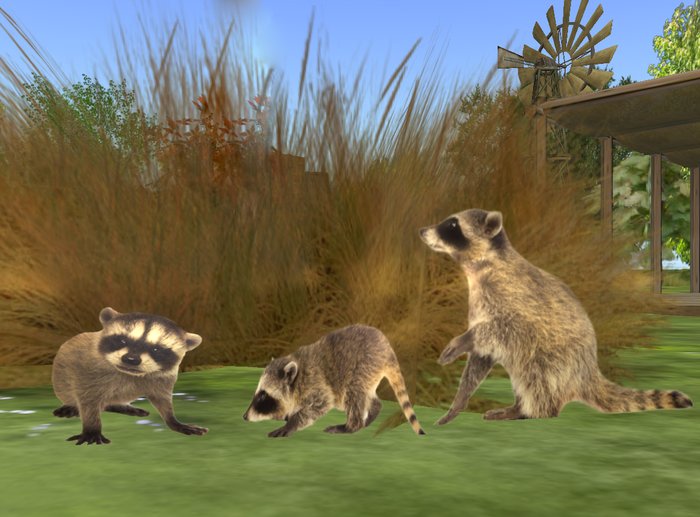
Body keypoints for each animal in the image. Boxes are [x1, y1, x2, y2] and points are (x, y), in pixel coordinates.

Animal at [52, 307, 208, 444]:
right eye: (122, 340)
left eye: (156, 349)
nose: (131, 359)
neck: (129, 373)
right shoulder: (87, 371)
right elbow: (88, 400)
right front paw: (92, 428)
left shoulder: (163, 378)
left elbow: (162, 399)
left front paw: (172, 420)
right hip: (60, 379)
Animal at [243, 324, 425, 437]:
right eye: (257, 393)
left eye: (263, 396)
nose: (244, 416)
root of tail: (387, 348)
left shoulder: (314, 382)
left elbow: (322, 403)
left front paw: (291, 423)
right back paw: (373, 409)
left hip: (365, 364)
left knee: (353, 393)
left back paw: (351, 426)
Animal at [420, 208, 693, 425]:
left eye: (452, 225)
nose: (422, 230)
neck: (481, 266)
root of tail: (589, 372)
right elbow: (480, 358)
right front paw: (457, 404)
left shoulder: (512, 297)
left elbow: (505, 327)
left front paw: (463, 339)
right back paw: (518, 407)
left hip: (556, 362)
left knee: (537, 376)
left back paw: (532, 411)